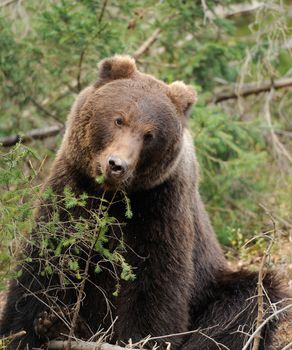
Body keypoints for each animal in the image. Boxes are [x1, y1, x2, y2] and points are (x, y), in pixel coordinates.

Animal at [0, 56, 284, 348]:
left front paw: (141, 339)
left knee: (250, 299)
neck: (111, 197)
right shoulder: (72, 191)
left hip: (213, 285)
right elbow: (46, 260)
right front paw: (33, 326)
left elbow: (154, 283)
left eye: (150, 135)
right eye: (119, 119)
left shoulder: (159, 206)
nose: (117, 165)